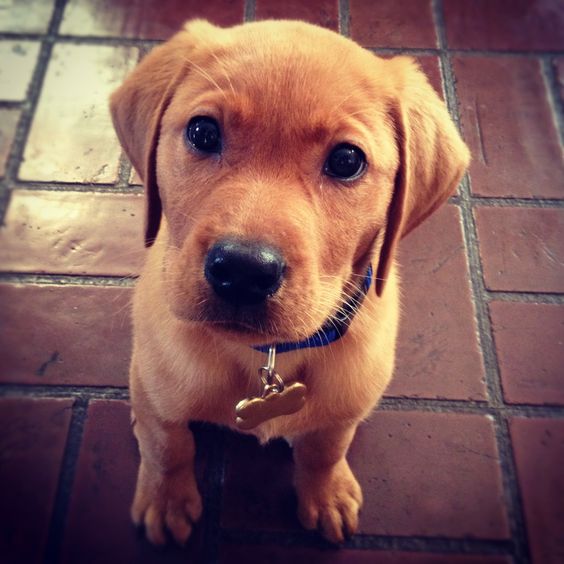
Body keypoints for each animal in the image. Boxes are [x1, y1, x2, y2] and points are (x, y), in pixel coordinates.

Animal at [109, 19, 468, 544]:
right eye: (202, 132)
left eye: (346, 161)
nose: (243, 270)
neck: (267, 357)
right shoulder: (160, 387)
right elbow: (167, 444)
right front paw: (165, 499)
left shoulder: (344, 406)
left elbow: (325, 449)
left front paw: (326, 494)